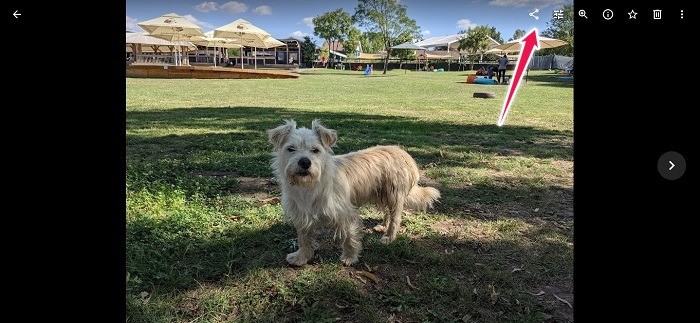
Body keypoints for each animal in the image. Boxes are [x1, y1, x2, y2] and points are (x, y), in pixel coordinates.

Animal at [266, 120, 438, 268]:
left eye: (315, 150)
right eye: (290, 149)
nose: (305, 162)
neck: (310, 185)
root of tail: (402, 152)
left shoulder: (345, 214)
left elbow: (348, 237)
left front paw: (350, 258)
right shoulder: (301, 215)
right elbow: (304, 239)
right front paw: (302, 257)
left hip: (394, 195)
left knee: (395, 217)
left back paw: (389, 236)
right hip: (381, 194)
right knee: (387, 212)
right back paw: (383, 226)